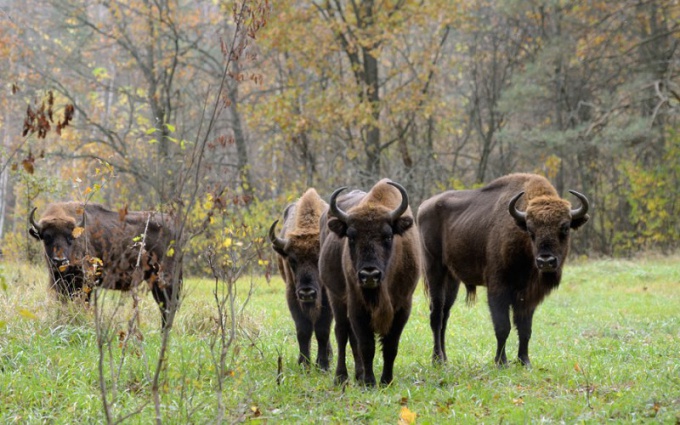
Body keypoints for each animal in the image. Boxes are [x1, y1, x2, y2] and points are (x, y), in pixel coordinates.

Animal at [28, 202, 182, 328]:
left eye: (70, 237)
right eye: (47, 237)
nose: (60, 261)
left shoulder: (85, 282)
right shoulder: (61, 284)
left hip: (164, 278)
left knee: (168, 305)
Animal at [270, 187, 334, 370]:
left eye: (319, 259)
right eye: (292, 260)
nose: (307, 292)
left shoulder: (326, 297)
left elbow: (322, 330)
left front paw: (323, 365)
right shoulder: (292, 295)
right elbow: (303, 330)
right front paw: (304, 364)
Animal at [318, 178, 420, 384]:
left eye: (388, 236)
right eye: (351, 237)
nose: (370, 275)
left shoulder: (403, 306)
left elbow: (390, 346)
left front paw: (386, 380)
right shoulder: (357, 305)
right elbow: (366, 345)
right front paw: (370, 382)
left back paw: (358, 375)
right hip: (335, 296)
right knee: (342, 333)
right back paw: (342, 377)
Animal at [418, 172, 588, 364]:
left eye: (565, 227)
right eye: (530, 230)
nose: (546, 261)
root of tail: (424, 206)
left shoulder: (528, 296)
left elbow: (525, 329)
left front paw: (524, 361)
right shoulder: (498, 289)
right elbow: (503, 327)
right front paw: (501, 362)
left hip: (452, 279)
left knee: (445, 315)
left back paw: (445, 359)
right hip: (434, 271)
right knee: (436, 315)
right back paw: (437, 360)